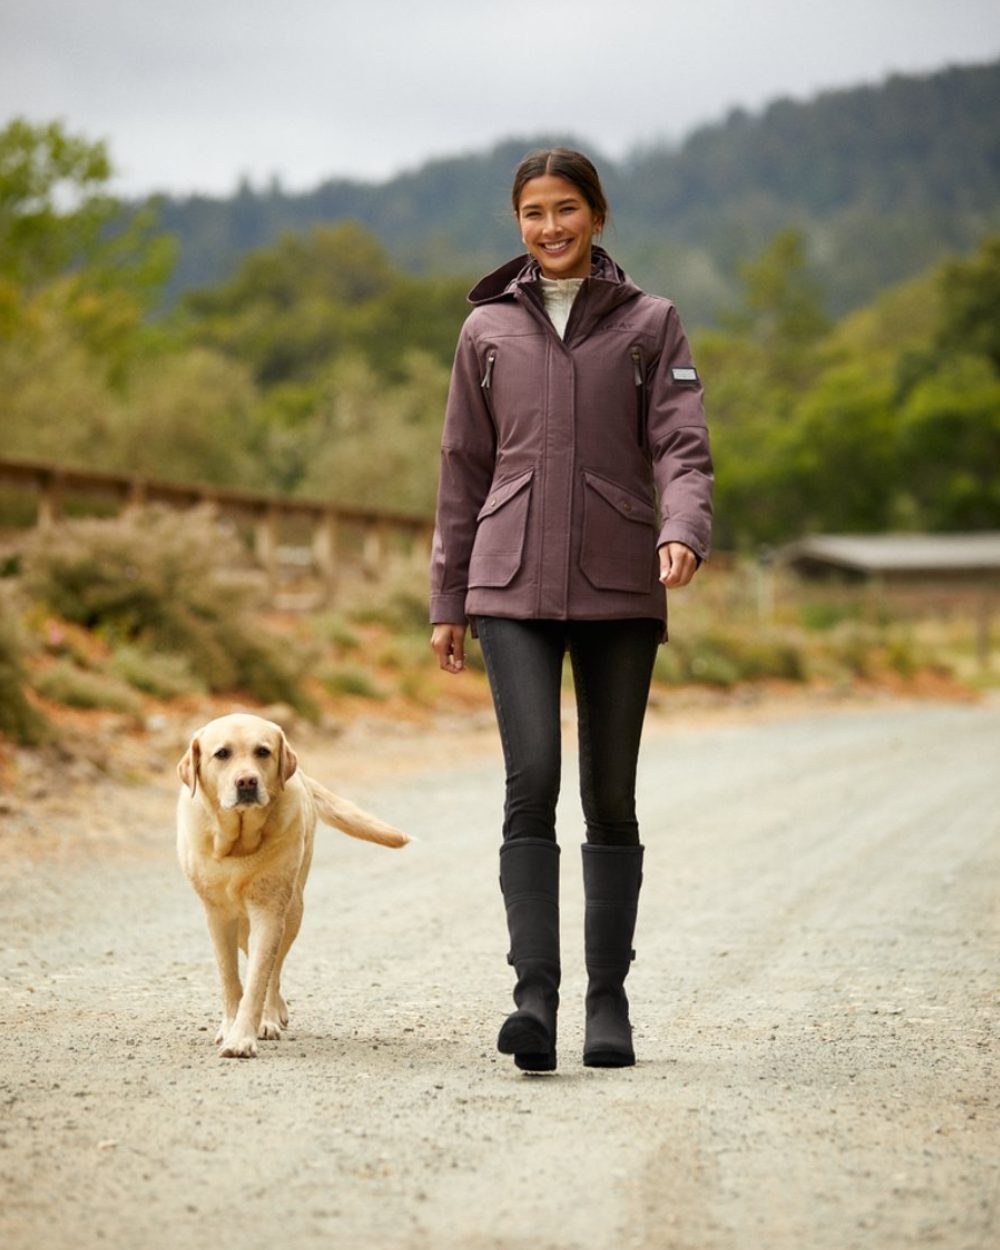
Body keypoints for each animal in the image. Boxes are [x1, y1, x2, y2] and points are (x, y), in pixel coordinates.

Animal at [177, 715, 407, 1055]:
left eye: (262, 751)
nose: (247, 782)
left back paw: (270, 1017)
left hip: (293, 910)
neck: (238, 846)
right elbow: (230, 978)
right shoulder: (218, 915)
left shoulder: (270, 911)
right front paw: (230, 1027)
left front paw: (243, 1036)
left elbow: (259, 977)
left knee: (273, 970)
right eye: (222, 754)